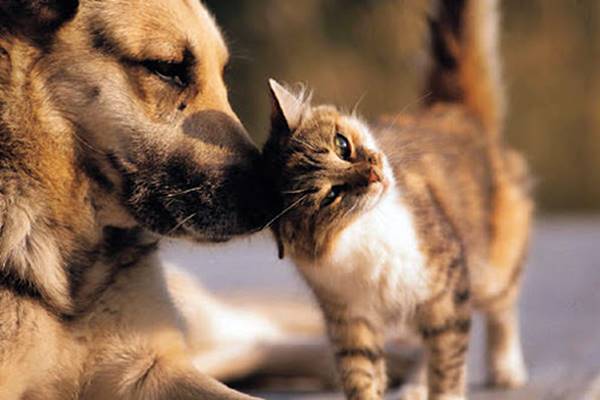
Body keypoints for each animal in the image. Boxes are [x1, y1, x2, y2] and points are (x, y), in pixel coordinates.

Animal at [260, 0, 532, 398]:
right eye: (331, 196)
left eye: (342, 145)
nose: (374, 174)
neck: (366, 232)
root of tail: (454, 110)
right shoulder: (351, 319)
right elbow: (362, 376)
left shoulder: (447, 293)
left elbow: (448, 369)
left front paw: (448, 390)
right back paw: (414, 388)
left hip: (491, 269)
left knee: (503, 309)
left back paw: (505, 368)